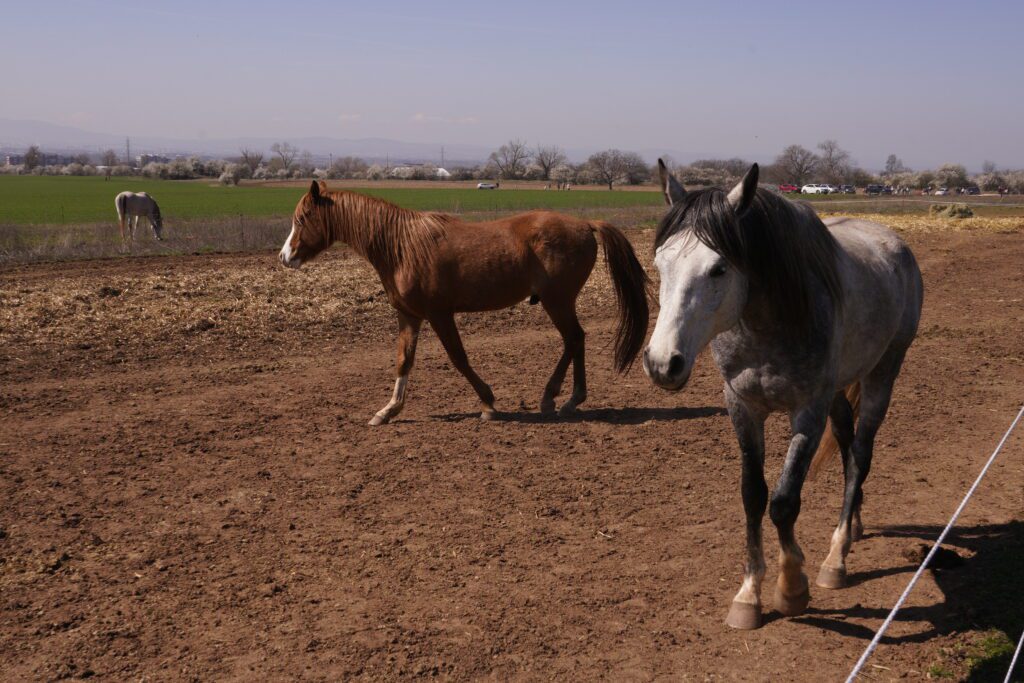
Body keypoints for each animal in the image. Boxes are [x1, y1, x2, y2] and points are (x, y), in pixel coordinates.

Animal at [279, 181, 650, 425]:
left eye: (301, 219)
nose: (284, 257)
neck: (401, 247)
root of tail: (586, 225)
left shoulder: (439, 314)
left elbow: (458, 357)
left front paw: (488, 402)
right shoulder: (409, 316)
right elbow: (403, 361)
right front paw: (388, 410)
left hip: (557, 301)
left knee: (573, 339)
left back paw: (557, 397)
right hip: (558, 302)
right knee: (576, 340)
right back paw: (568, 398)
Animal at [643, 160, 922, 629]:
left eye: (719, 268)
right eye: (660, 262)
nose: (663, 362)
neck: (768, 325)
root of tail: (893, 242)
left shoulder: (806, 412)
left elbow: (784, 501)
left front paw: (792, 587)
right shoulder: (742, 407)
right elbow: (753, 496)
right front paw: (748, 596)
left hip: (884, 372)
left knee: (860, 455)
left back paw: (836, 558)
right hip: (838, 392)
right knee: (846, 448)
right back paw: (853, 527)